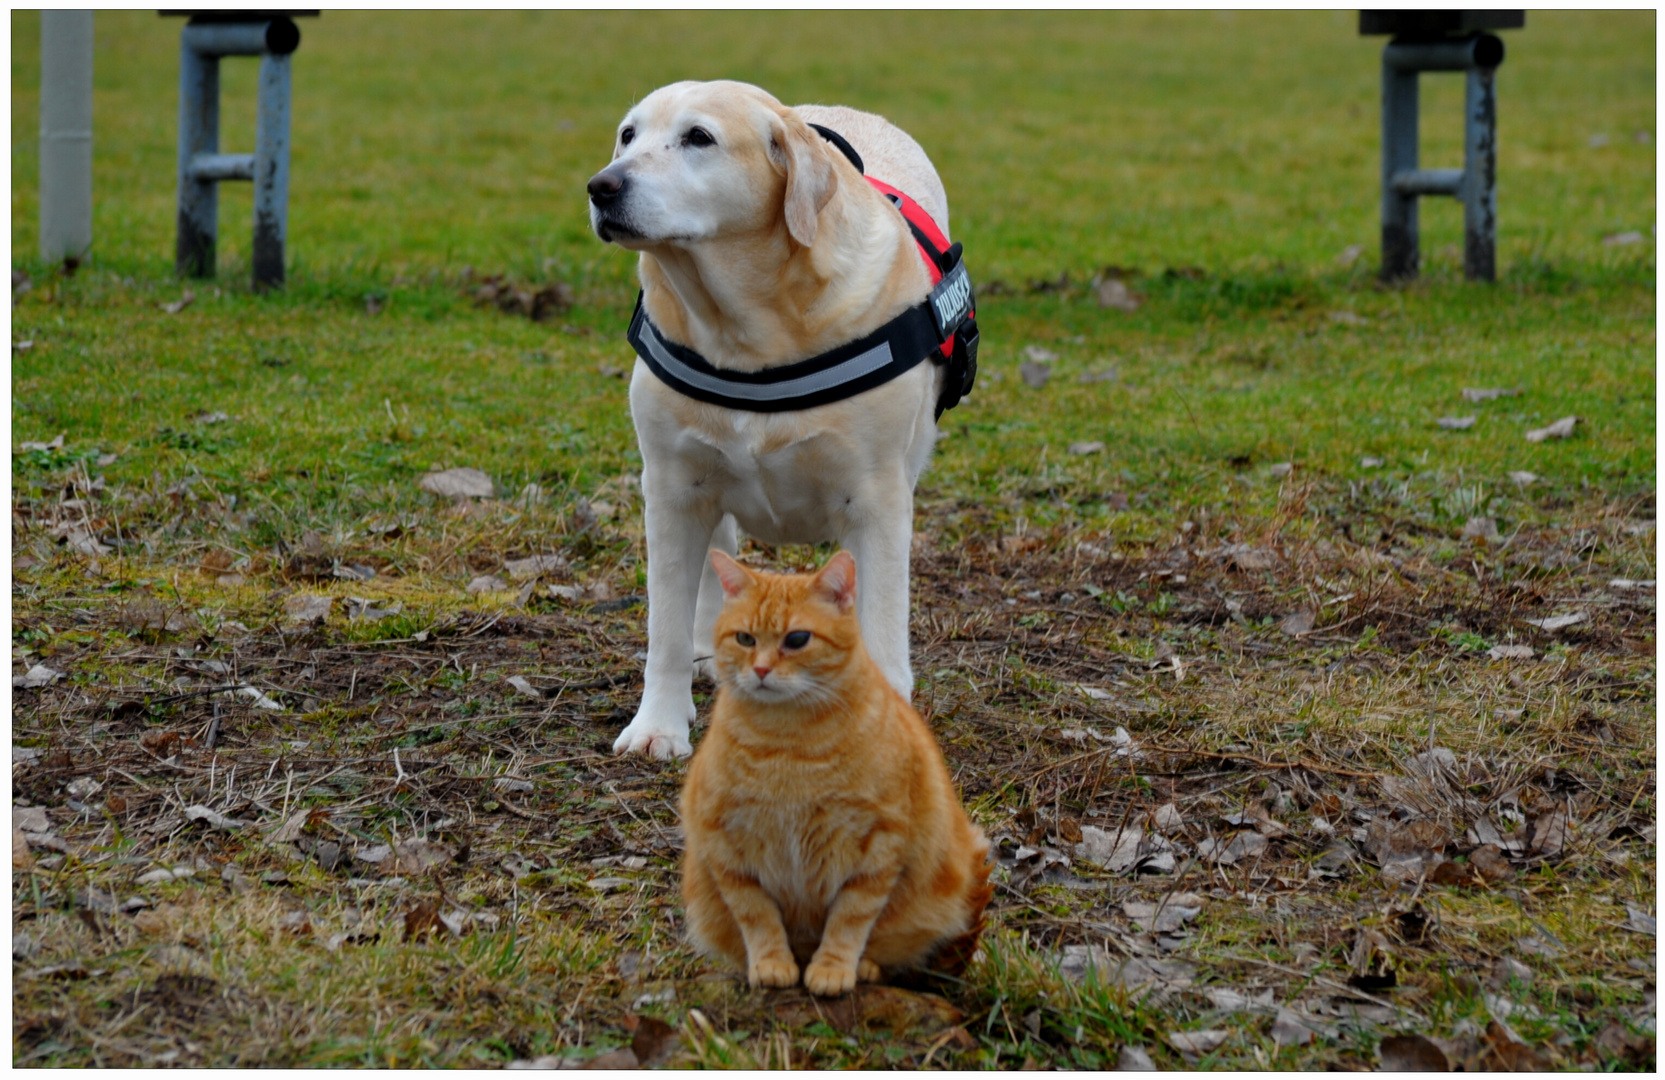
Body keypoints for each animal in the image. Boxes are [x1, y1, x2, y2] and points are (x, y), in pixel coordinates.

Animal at [592, 79, 972, 758]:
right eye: (628, 135)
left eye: (699, 137)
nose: (601, 186)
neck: (749, 328)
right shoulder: (670, 489)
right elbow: (665, 627)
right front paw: (658, 725)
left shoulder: (875, 502)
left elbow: (880, 631)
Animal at [682, 549, 992, 991]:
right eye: (745, 639)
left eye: (797, 640)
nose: (760, 670)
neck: (787, 745)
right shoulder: (724, 844)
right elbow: (757, 916)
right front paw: (771, 963)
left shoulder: (878, 848)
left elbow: (850, 920)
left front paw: (833, 968)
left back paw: (867, 967)